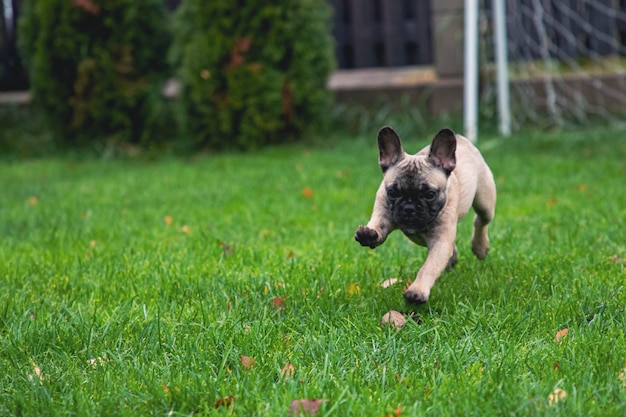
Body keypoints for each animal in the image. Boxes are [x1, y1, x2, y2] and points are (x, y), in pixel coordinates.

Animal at [356, 125, 492, 304]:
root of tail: (462, 138)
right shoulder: (383, 212)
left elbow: (428, 267)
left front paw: (417, 291)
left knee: (481, 220)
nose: (409, 207)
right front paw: (368, 234)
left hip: (485, 201)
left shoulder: (440, 242)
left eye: (429, 194)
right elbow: (378, 224)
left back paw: (480, 246)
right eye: (392, 192)